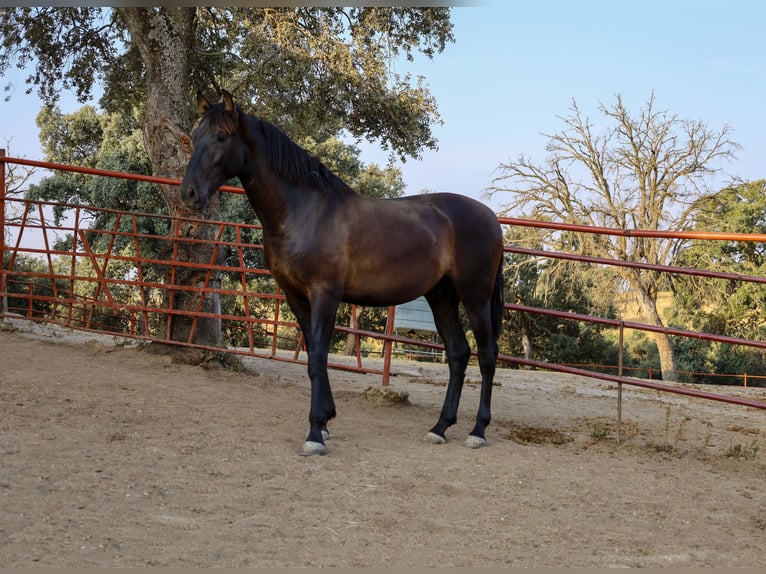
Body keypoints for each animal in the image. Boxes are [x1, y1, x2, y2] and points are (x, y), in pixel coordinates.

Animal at [179, 91, 504, 460]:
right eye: (195, 135)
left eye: (221, 137)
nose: (189, 193)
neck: (304, 211)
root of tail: (491, 218)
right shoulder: (295, 296)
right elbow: (312, 355)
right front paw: (325, 421)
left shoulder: (325, 295)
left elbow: (319, 358)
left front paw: (314, 433)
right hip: (442, 296)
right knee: (458, 354)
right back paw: (440, 427)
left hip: (475, 296)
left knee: (487, 355)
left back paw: (477, 430)